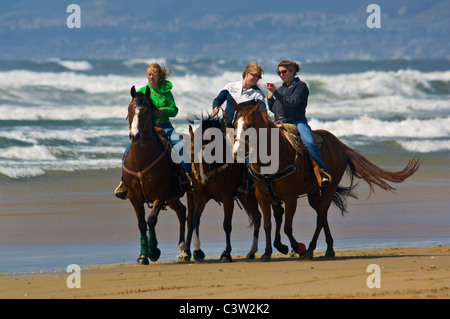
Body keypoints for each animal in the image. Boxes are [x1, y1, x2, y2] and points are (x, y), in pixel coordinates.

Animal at [121, 86, 188, 266]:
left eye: (145, 110)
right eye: (129, 108)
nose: (134, 135)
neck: (142, 160)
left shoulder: (160, 194)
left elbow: (151, 220)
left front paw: (154, 251)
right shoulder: (134, 197)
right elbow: (142, 224)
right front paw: (143, 256)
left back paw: (187, 249)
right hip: (173, 198)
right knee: (182, 211)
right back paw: (183, 249)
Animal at [234, 104, 420, 262]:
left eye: (249, 125)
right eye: (235, 124)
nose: (237, 151)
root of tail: (340, 144)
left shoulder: (290, 197)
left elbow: (287, 226)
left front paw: (298, 248)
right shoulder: (262, 195)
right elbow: (267, 223)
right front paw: (267, 253)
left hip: (330, 187)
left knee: (321, 214)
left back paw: (310, 249)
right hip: (313, 191)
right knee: (320, 213)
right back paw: (329, 248)